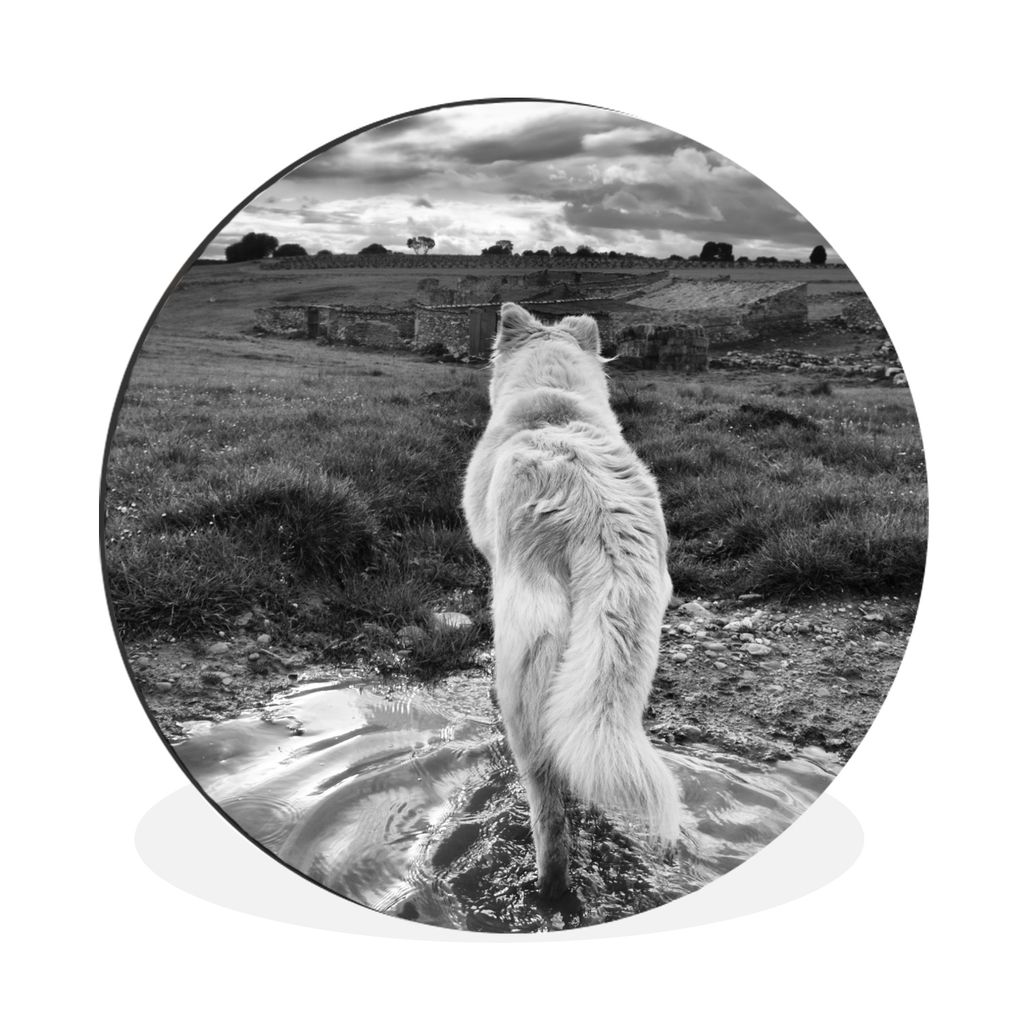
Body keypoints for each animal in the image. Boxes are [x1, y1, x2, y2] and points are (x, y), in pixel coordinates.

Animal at [462, 302, 680, 899]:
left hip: (525, 661)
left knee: (547, 801)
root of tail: (596, 516)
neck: (553, 403)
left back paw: (552, 891)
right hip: (624, 657)